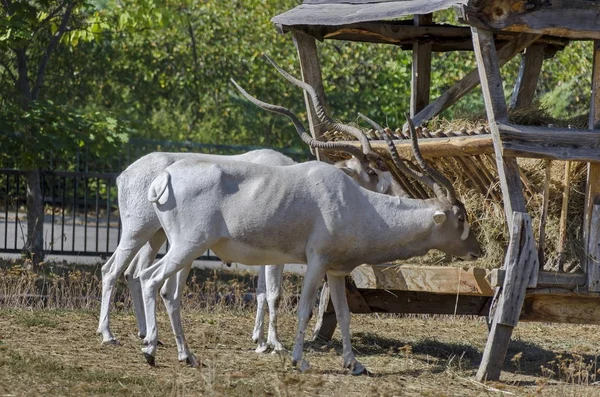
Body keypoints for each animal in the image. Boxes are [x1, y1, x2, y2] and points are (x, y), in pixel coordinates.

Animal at [139, 112, 482, 374]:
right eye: (460, 217)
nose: (477, 250)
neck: (357, 203)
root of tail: (166, 177)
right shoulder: (316, 262)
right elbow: (304, 308)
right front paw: (298, 360)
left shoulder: (337, 271)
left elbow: (343, 315)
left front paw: (354, 365)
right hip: (188, 246)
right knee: (149, 278)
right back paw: (150, 351)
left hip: (184, 250)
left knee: (167, 290)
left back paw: (187, 356)